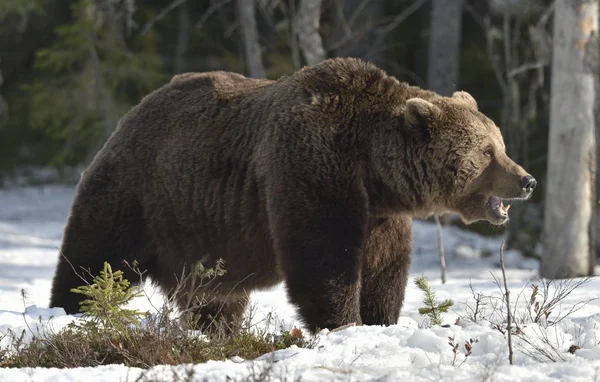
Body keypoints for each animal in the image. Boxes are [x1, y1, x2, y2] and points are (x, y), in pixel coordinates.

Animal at [49, 57, 536, 334]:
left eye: (501, 145)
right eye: (488, 152)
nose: (528, 179)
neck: (372, 167)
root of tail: (130, 115)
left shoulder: (381, 214)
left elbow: (385, 269)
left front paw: (380, 319)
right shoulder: (313, 169)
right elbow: (324, 259)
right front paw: (342, 323)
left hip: (201, 233)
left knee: (214, 295)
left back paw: (217, 331)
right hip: (138, 194)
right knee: (94, 257)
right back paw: (69, 313)